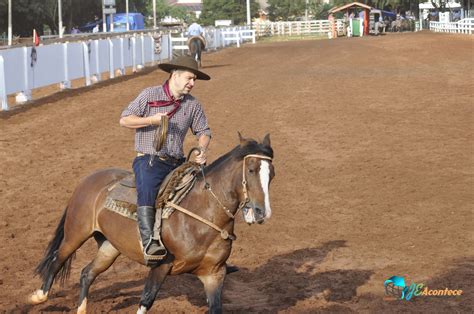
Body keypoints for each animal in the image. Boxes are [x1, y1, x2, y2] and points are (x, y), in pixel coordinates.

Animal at [28, 134, 274, 312]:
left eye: (271, 174)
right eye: (251, 169)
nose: (262, 212)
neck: (201, 216)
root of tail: (88, 179)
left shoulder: (214, 274)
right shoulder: (160, 266)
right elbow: (146, 299)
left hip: (110, 246)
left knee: (87, 273)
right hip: (76, 233)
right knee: (57, 259)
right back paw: (38, 296)